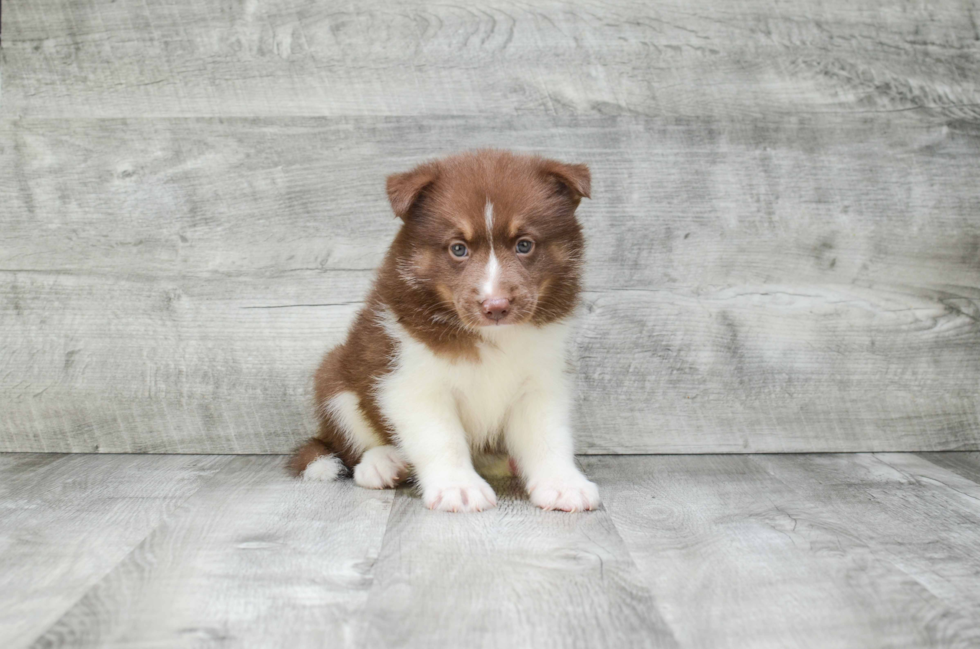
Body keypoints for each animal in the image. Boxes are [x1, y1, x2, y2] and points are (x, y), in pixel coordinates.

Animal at [288, 151, 600, 512]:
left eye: (524, 245)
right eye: (458, 248)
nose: (496, 306)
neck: (491, 335)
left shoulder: (541, 380)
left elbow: (547, 436)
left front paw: (563, 485)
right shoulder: (413, 381)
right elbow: (442, 439)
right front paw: (458, 488)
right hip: (335, 379)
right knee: (353, 446)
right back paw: (382, 464)